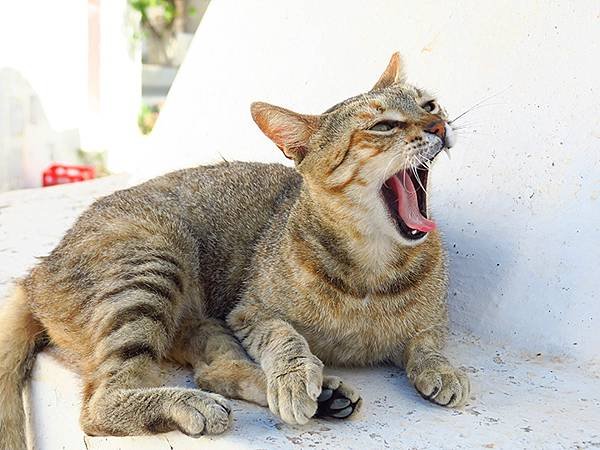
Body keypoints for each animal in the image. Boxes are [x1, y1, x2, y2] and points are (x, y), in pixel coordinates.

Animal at [0, 51, 468, 446]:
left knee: (214, 371)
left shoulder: (434, 319)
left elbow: (426, 342)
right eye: (383, 126)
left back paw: (322, 397)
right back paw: (195, 403)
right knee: (99, 406)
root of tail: (35, 274)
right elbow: (285, 336)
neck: (373, 265)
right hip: (152, 265)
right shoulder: (249, 312)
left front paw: (442, 369)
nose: (439, 125)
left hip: (199, 321)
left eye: (429, 105)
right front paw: (294, 376)